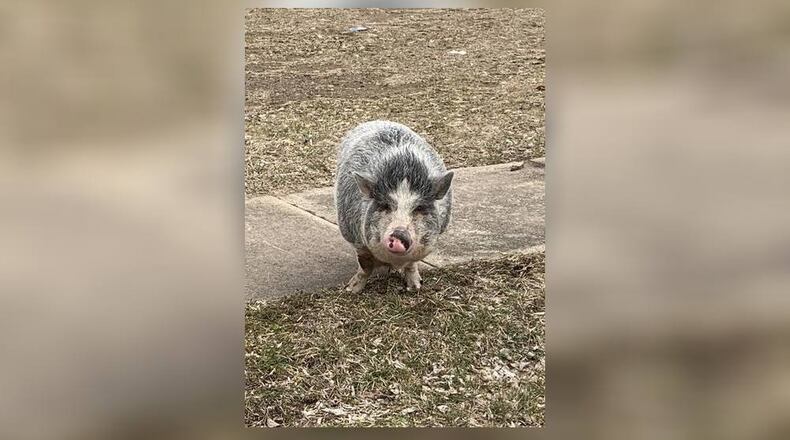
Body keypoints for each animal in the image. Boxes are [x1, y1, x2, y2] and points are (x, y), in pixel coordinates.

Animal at [334, 120, 454, 293]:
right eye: (385, 205)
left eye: (419, 208)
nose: (399, 234)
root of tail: (379, 121)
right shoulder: (355, 238)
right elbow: (365, 266)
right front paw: (351, 290)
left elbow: (411, 264)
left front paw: (415, 287)